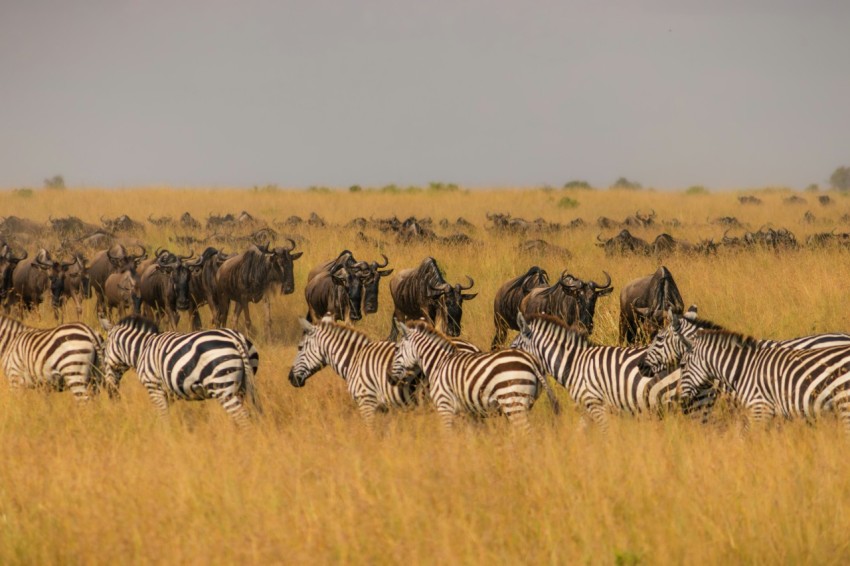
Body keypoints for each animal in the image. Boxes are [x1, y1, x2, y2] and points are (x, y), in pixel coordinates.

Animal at [101, 316, 261, 427]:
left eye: (104, 351)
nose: (110, 392)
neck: (142, 350)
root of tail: (236, 338)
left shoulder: (154, 387)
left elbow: (163, 417)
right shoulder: (167, 393)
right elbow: (167, 416)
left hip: (222, 386)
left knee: (242, 417)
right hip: (242, 386)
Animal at [288, 315, 481, 426]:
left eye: (299, 348)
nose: (290, 379)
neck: (354, 360)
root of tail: (474, 348)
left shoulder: (366, 401)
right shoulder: (385, 408)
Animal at [390, 318, 560, 432]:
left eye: (397, 349)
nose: (390, 378)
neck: (438, 363)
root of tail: (531, 360)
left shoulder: (445, 406)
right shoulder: (469, 413)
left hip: (513, 401)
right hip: (525, 403)